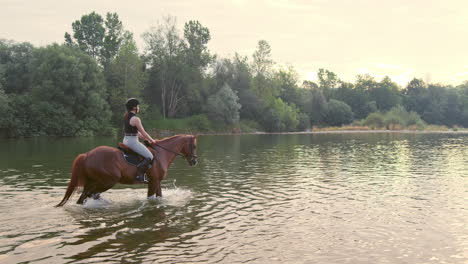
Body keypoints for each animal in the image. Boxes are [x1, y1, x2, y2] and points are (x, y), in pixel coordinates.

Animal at [55, 134, 197, 206]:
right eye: (194, 146)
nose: (194, 161)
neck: (161, 153)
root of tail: (87, 155)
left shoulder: (157, 182)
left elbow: (159, 197)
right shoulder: (153, 182)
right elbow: (151, 198)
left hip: (93, 182)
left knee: (85, 196)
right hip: (107, 181)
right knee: (91, 194)